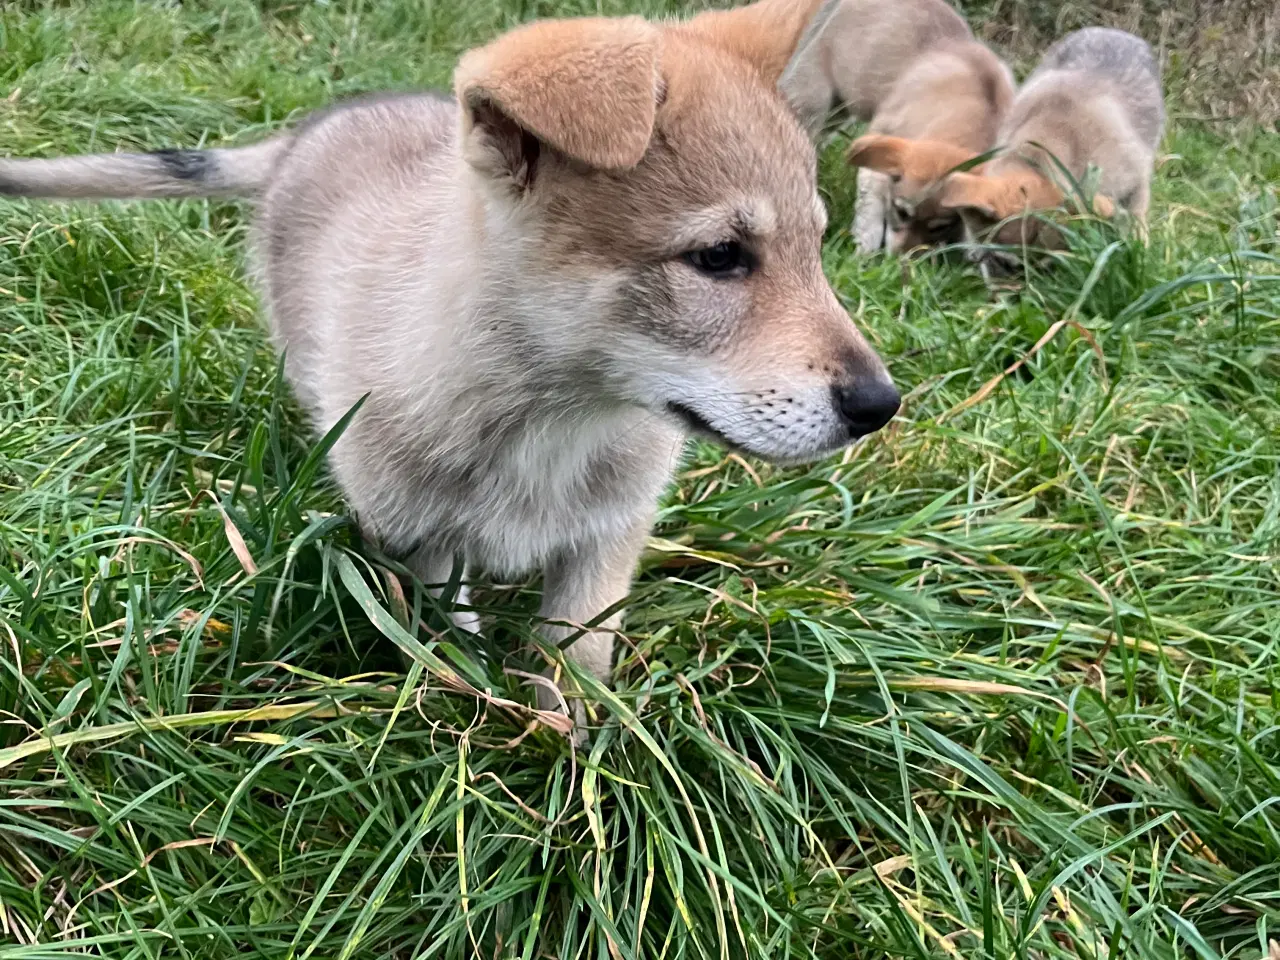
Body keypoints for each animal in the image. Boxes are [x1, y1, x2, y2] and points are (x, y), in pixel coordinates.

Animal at [0, 5, 901, 737]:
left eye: (817, 245)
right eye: (718, 256)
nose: (881, 405)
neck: (554, 419)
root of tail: (309, 132)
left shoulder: (607, 538)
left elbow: (578, 653)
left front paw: (573, 745)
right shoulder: (418, 543)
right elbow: (449, 636)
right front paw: (485, 703)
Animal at [936, 28, 1167, 276]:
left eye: (1049, 268)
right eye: (1003, 263)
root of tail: (1114, 31)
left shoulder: (1134, 186)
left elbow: (1136, 226)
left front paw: (1138, 258)